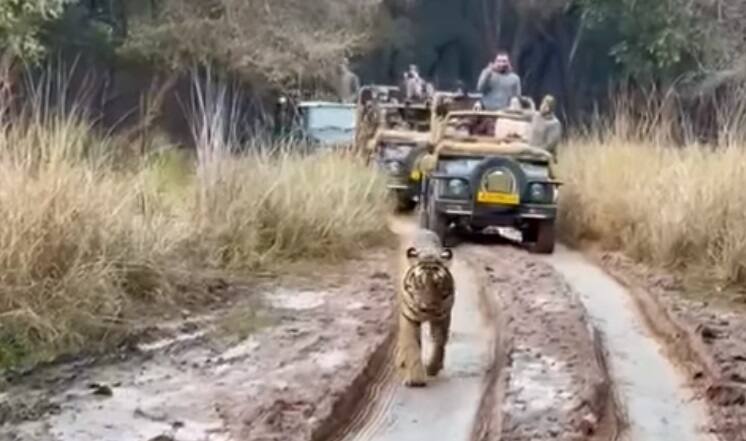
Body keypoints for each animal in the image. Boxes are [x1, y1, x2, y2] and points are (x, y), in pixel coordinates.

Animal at [396, 227, 454, 384]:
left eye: (438, 284)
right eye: (419, 284)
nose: (427, 308)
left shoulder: (442, 317)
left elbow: (439, 343)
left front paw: (432, 367)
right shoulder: (409, 317)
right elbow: (412, 345)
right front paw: (416, 378)